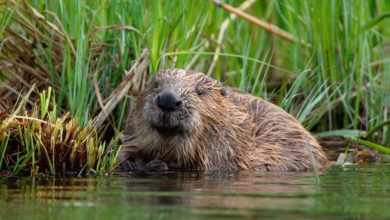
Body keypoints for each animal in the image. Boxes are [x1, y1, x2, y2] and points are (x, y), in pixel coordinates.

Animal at [116, 69, 330, 172]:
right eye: (155, 84)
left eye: (200, 92)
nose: (168, 100)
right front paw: (127, 163)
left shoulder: (226, 152)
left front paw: (156, 165)